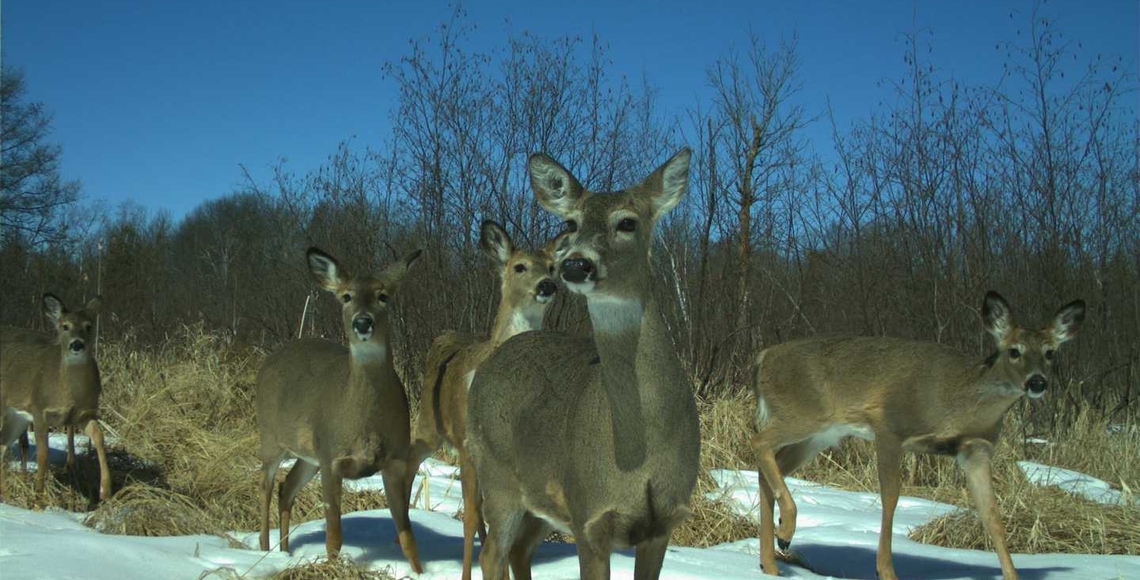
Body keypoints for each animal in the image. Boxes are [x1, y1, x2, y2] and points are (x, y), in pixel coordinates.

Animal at [1, 293, 113, 501]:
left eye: (89, 325)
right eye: (65, 326)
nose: (77, 344)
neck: (69, 394)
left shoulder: (84, 414)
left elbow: (99, 437)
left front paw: (105, 490)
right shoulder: (39, 409)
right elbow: (43, 455)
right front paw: (38, 497)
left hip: (17, 416)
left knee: (1, 446)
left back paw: (6, 495)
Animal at [254, 243, 424, 569]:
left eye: (383, 295)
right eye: (346, 296)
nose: (362, 322)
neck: (365, 423)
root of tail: (267, 361)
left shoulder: (395, 459)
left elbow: (407, 535)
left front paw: (419, 572)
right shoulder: (332, 458)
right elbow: (334, 536)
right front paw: (332, 568)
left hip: (309, 455)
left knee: (286, 488)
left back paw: (284, 552)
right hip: (270, 437)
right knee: (266, 487)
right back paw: (263, 550)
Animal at [408, 217, 558, 578]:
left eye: (552, 266)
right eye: (519, 266)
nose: (547, 285)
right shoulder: (466, 444)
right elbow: (472, 517)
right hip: (428, 426)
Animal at [465, 149, 702, 578]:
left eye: (627, 222)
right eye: (571, 223)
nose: (575, 265)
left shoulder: (663, 523)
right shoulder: (588, 516)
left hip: (540, 498)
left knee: (517, 550)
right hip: (496, 472)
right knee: (491, 553)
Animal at [752, 291, 1080, 578]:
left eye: (1050, 353)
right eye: (1014, 351)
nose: (1037, 382)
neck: (959, 401)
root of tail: (763, 357)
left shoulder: (976, 450)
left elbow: (992, 515)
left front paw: (1012, 575)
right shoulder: (888, 425)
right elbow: (891, 497)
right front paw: (885, 571)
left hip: (819, 435)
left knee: (767, 468)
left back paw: (770, 561)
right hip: (803, 414)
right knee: (759, 442)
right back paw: (785, 530)